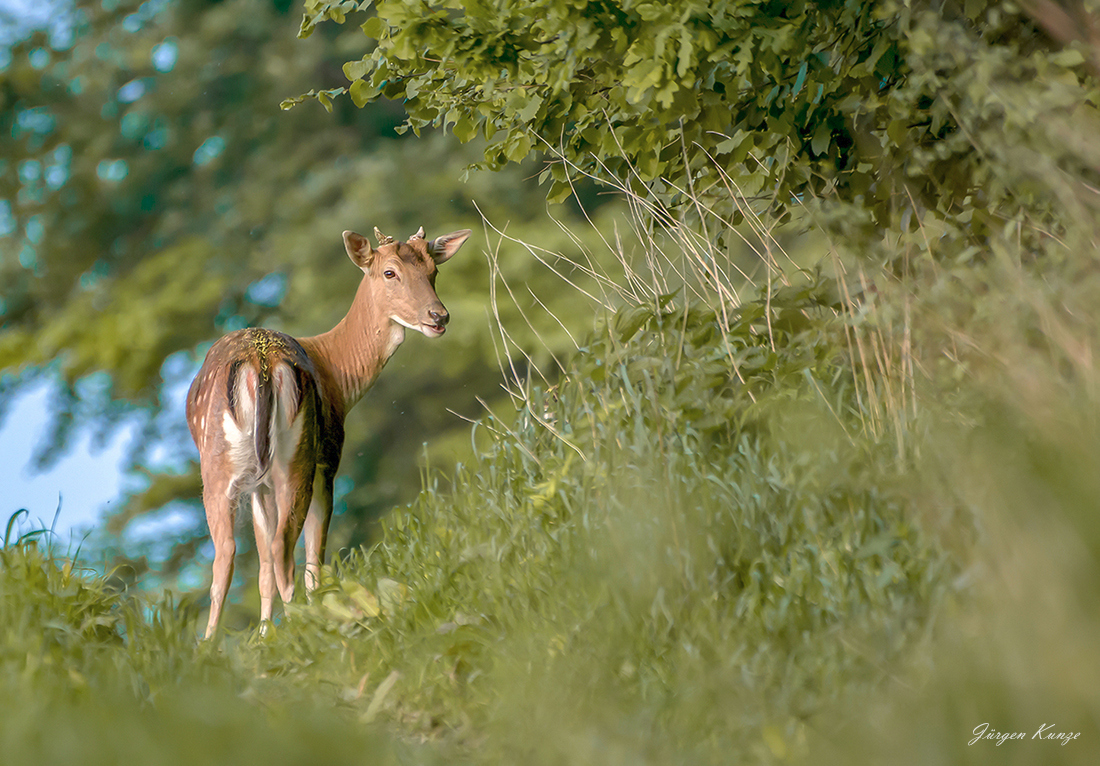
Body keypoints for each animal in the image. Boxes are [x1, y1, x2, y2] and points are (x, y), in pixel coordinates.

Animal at [185, 224, 468, 638]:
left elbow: (263, 568)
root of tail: (261, 364)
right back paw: (307, 626)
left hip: (228, 467)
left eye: (434, 269)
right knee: (283, 550)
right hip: (296, 458)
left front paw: (265, 637)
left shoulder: (259, 486)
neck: (337, 376)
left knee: (230, 556)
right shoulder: (329, 461)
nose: (439, 315)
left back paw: (211, 644)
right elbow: (313, 555)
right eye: (390, 272)